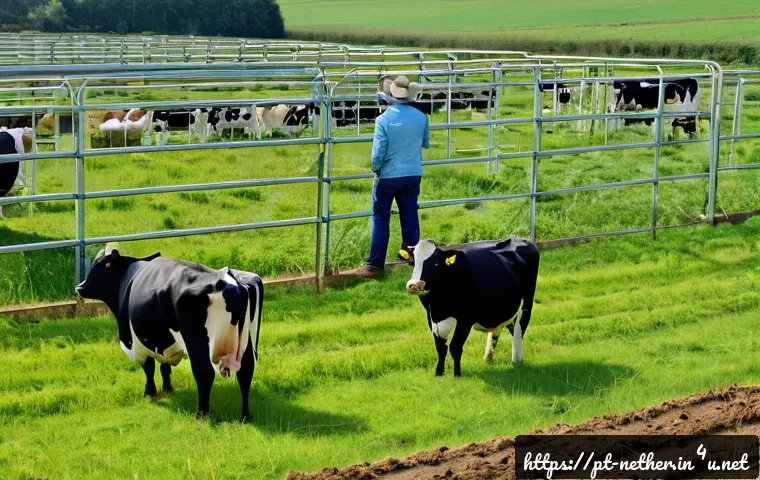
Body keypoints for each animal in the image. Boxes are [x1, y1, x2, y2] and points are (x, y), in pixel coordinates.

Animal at [75, 248, 264, 421]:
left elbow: (148, 367)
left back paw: (201, 415)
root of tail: (232, 281)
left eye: (105, 265)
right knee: (246, 371)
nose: (80, 287)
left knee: (204, 372)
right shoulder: (163, 339)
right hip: (248, 342)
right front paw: (167, 388)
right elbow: (164, 366)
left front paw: (149, 392)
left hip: (197, 341)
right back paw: (245, 417)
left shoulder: (137, 342)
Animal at [406, 237, 540, 377]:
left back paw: (517, 359)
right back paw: (488, 358)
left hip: (527, 302)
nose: (415, 285)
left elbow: (455, 347)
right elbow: (441, 347)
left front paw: (457, 374)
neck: (439, 308)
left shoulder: (465, 319)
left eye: (435, 261)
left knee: (520, 326)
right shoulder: (431, 316)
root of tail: (518, 238)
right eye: (413, 261)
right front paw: (439, 373)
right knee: (504, 329)